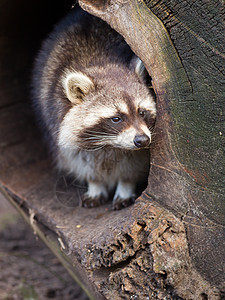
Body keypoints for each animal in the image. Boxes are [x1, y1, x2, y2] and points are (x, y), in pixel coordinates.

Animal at [31, 6, 156, 209]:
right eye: (116, 118)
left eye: (141, 112)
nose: (142, 140)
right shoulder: (57, 122)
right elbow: (79, 160)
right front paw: (95, 184)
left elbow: (134, 163)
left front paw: (125, 185)